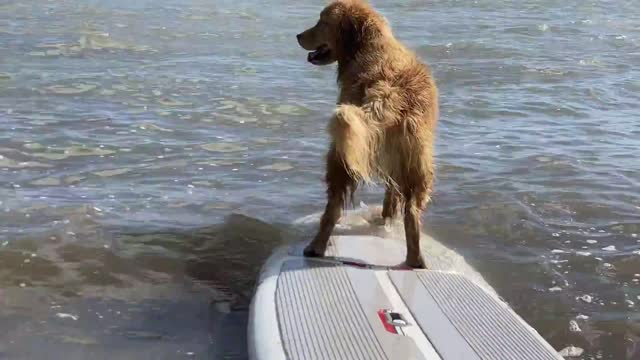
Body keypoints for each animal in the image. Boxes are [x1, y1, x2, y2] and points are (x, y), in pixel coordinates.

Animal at [296, 0, 438, 268]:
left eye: (323, 21)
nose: (298, 35)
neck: (369, 45)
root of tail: (389, 92)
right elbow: (391, 197)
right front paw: (386, 218)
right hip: (417, 163)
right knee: (411, 213)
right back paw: (415, 259)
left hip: (340, 155)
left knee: (332, 208)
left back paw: (315, 246)